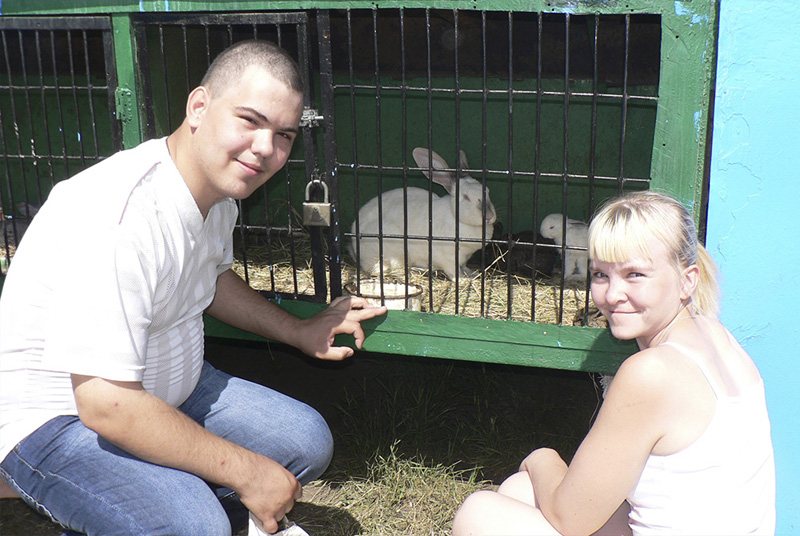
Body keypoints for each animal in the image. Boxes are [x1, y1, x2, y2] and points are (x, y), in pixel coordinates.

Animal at [349, 147, 496, 281]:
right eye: (466, 197)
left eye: (487, 191)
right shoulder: (448, 258)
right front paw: (463, 280)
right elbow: (453, 272)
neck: (457, 218)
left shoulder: (465, 258)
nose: (489, 217)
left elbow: (464, 266)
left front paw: (472, 273)